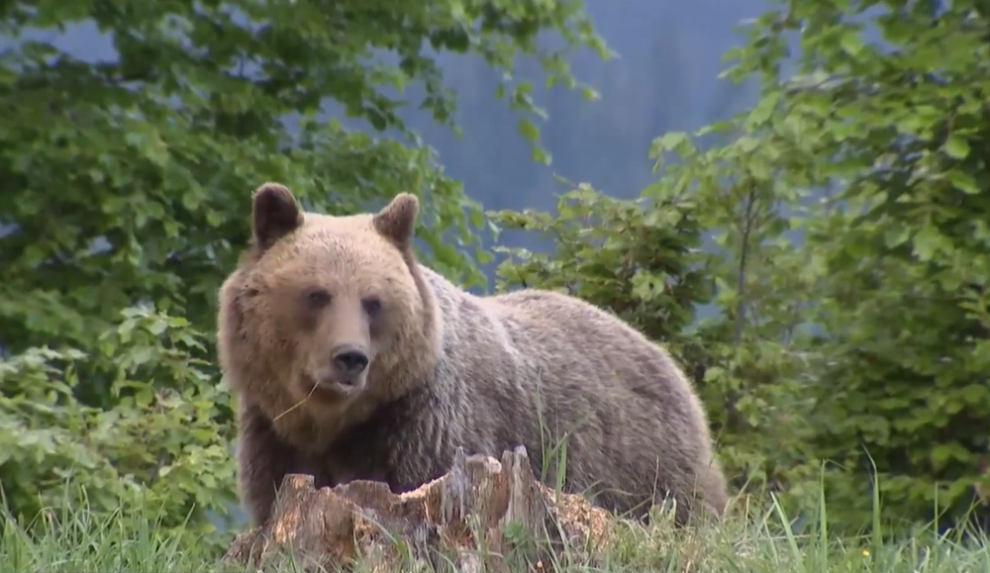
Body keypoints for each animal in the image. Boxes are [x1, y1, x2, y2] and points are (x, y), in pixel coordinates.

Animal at [217, 182, 728, 528]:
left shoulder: (428, 435)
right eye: (317, 294)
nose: (350, 358)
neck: (333, 424)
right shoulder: (276, 438)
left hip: (646, 466)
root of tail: (664, 358)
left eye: (373, 301)